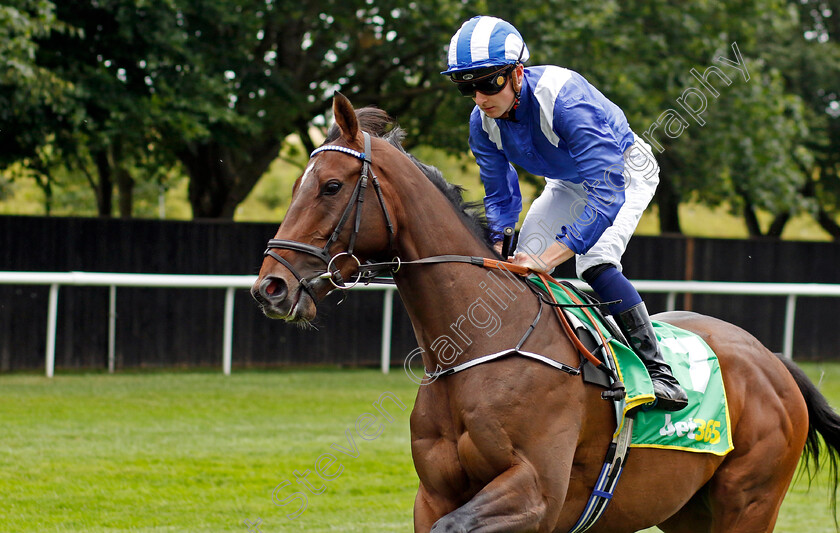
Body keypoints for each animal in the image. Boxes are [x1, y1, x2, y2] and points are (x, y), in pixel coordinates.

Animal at [251, 92, 840, 532]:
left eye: (331, 186)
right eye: (299, 186)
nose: (270, 287)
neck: (483, 347)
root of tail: (771, 359)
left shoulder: (536, 492)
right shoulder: (434, 492)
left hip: (749, 503)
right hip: (688, 511)